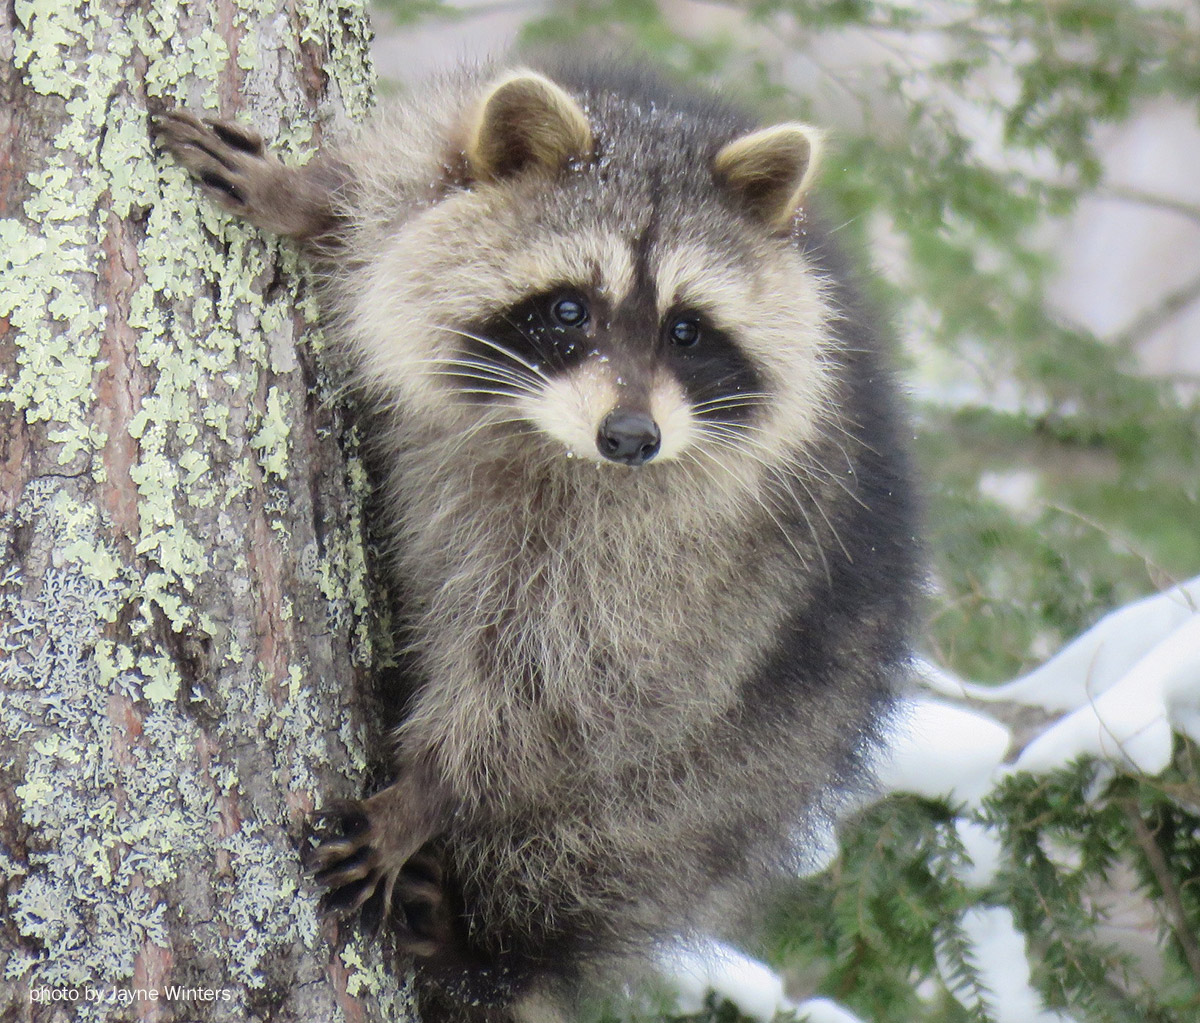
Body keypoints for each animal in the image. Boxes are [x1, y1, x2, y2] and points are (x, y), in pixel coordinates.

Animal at [157, 61, 916, 1023]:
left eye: (687, 329)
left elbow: (558, 689)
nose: (631, 437)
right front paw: (306, 195)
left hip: (746, 767)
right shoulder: (447, 163)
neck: (538, 434)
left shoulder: (679, 556)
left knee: (604, 846)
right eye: (566, 309)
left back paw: (494, 955)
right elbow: (394, 203)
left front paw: (432, 790)